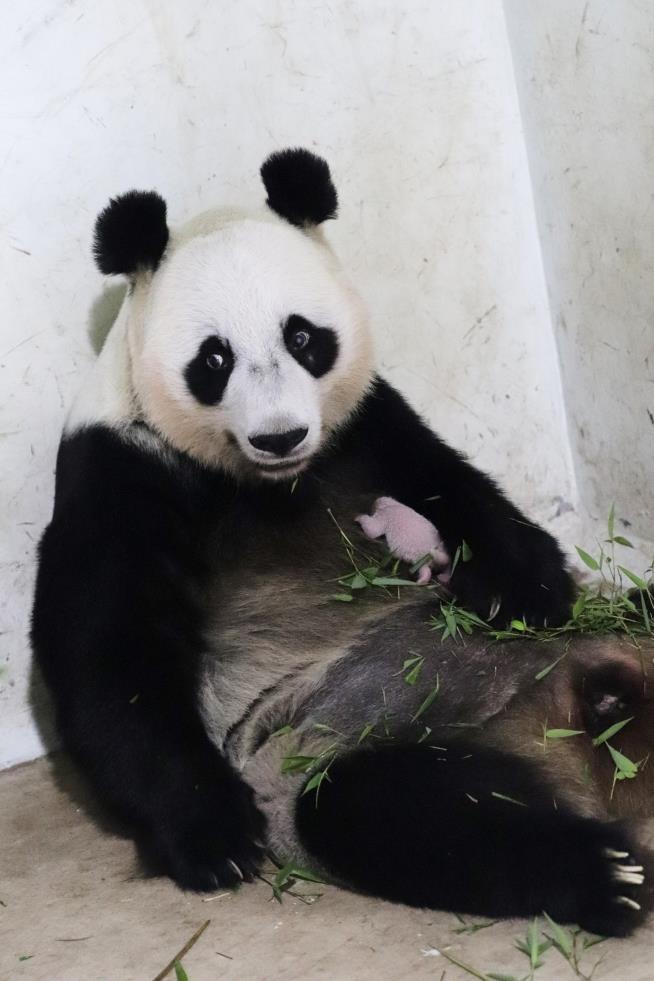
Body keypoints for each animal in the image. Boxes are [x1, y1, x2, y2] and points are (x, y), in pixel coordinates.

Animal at [32, 148, 652, 938]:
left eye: (302, 337)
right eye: (213, 359)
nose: (280, 435)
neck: (267, 486)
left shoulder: (366, 427)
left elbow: (454, 486)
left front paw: (527, 591)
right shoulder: (120, 470)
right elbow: (109, 657)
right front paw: (215, 838)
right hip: (344, 749)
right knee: (402, 813)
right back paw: (605, 873)